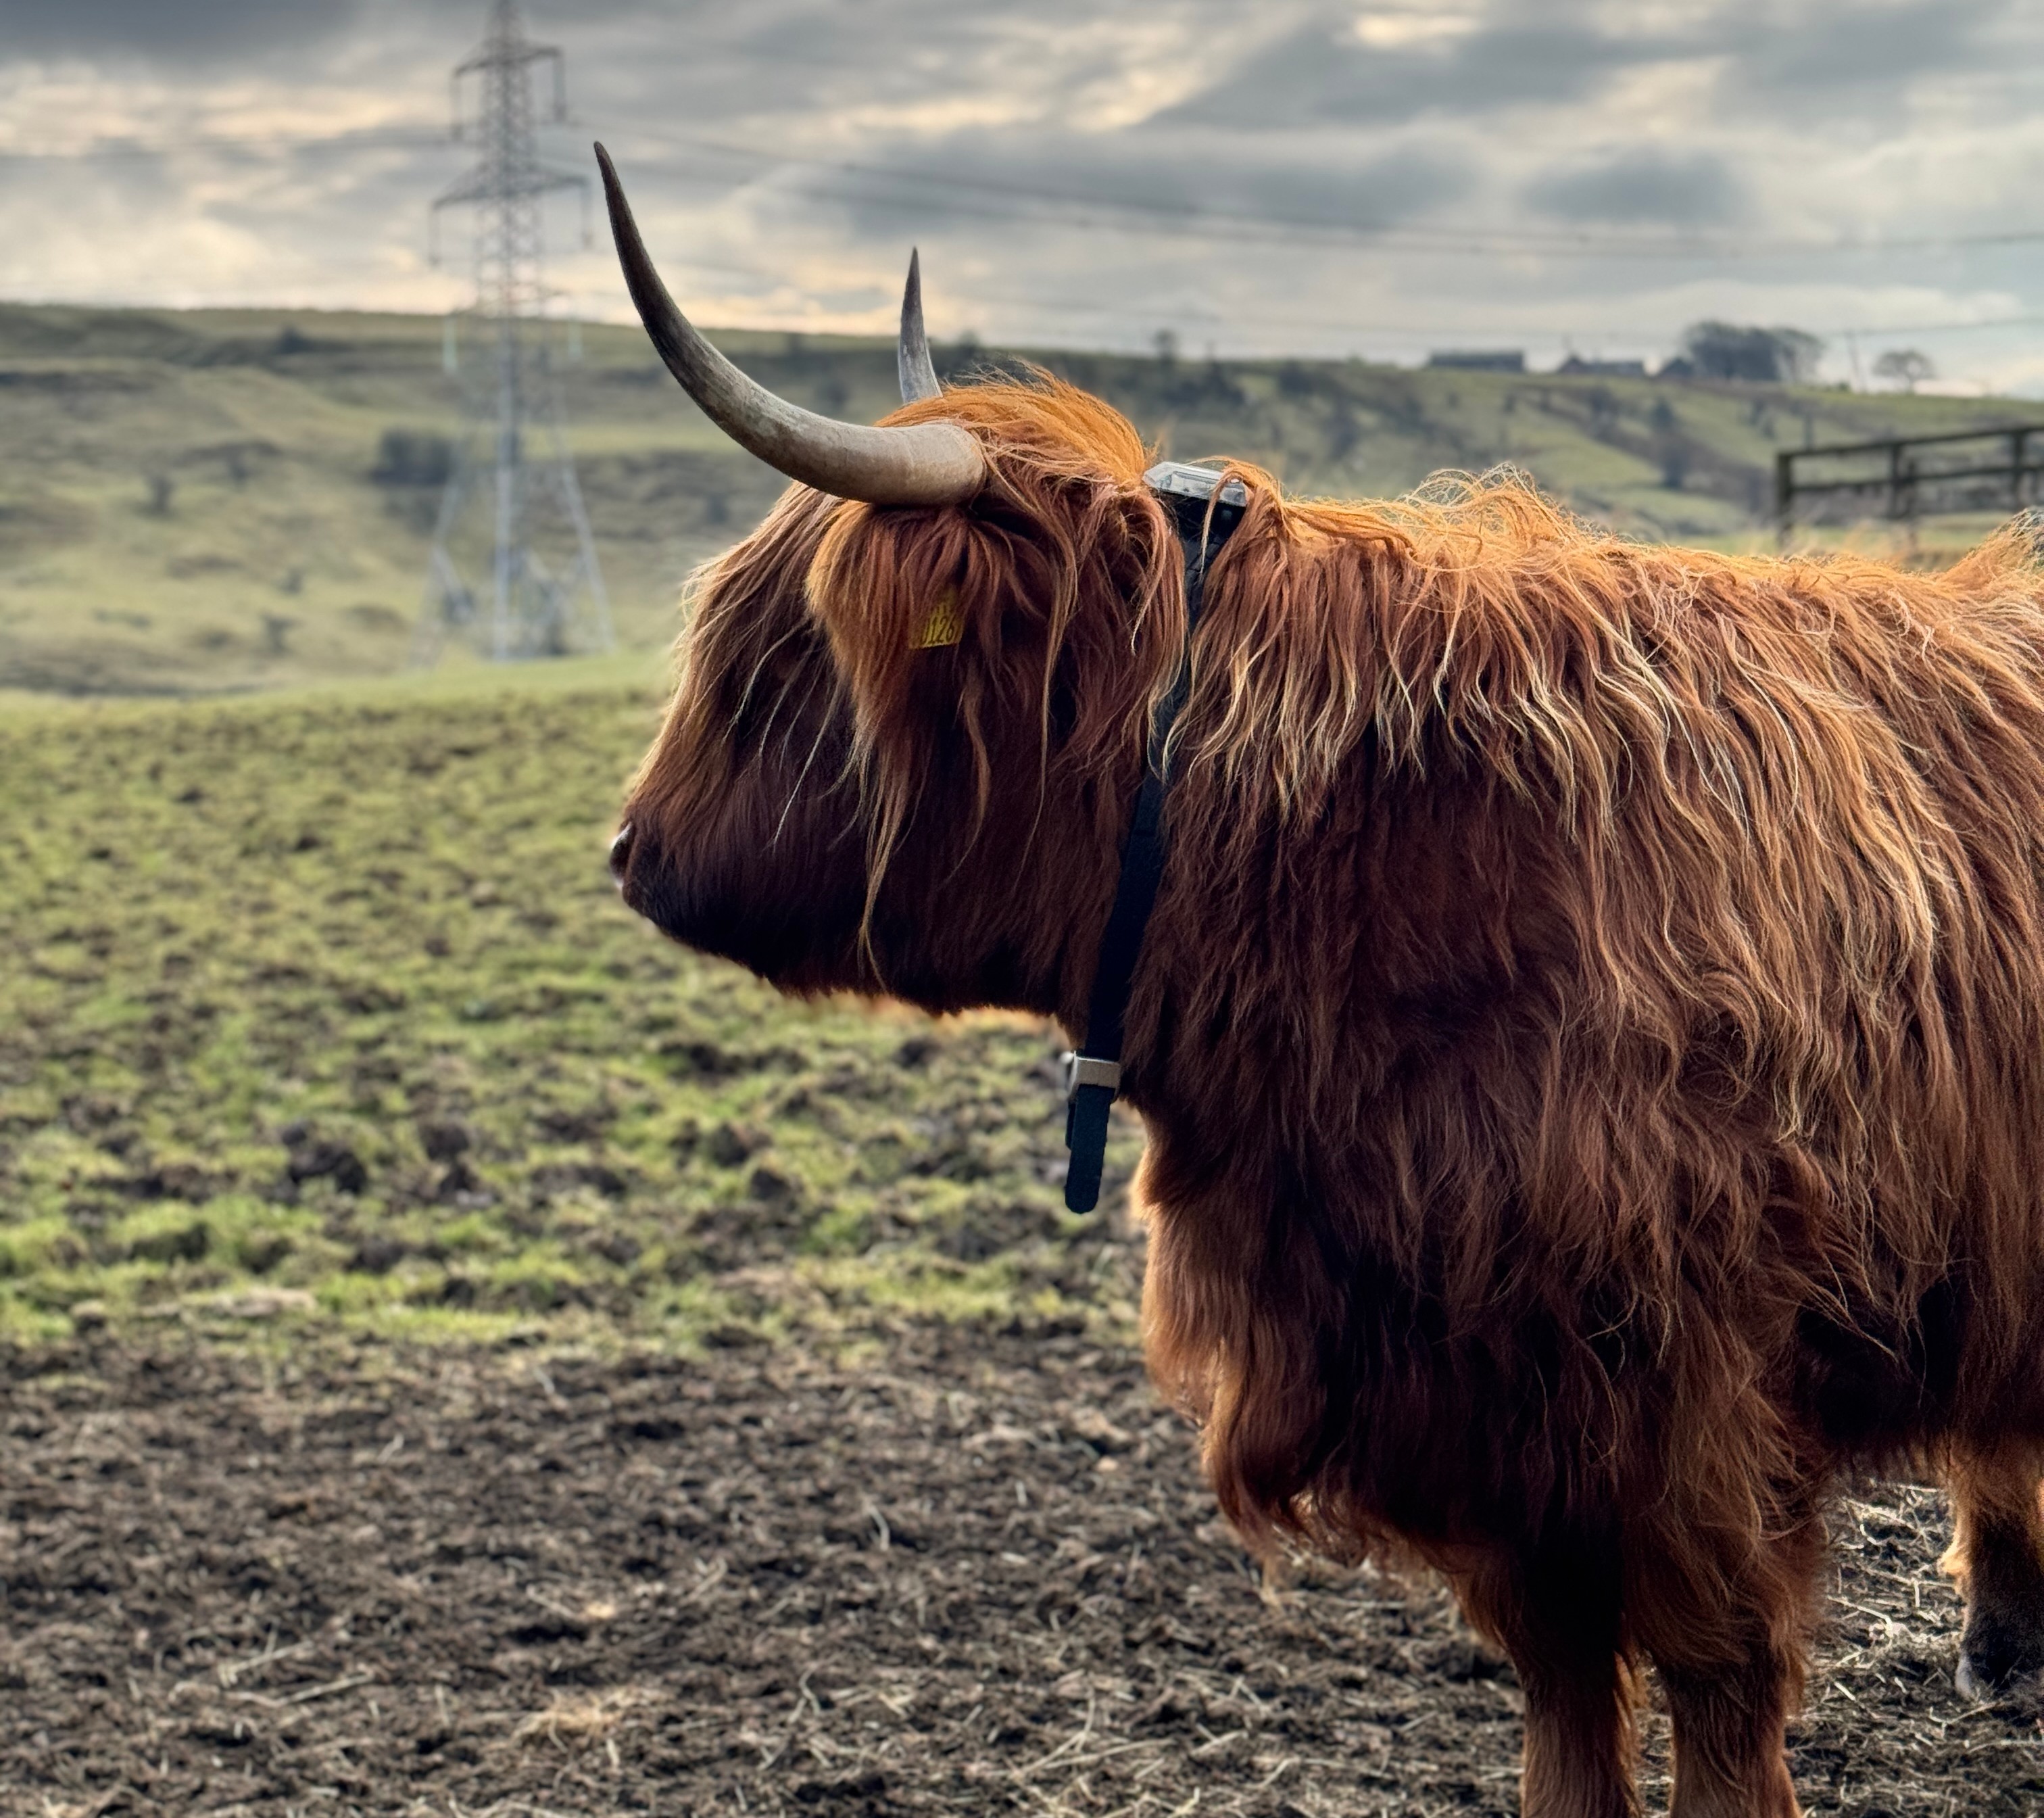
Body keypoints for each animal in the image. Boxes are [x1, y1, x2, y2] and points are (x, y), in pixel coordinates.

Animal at [594, 145, 2044, 1817]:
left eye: (782, 667)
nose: (630, 851)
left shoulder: (1689, 1392)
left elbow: (1718, 1676)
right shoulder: (1490, 1405)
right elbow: (1563, 1682)